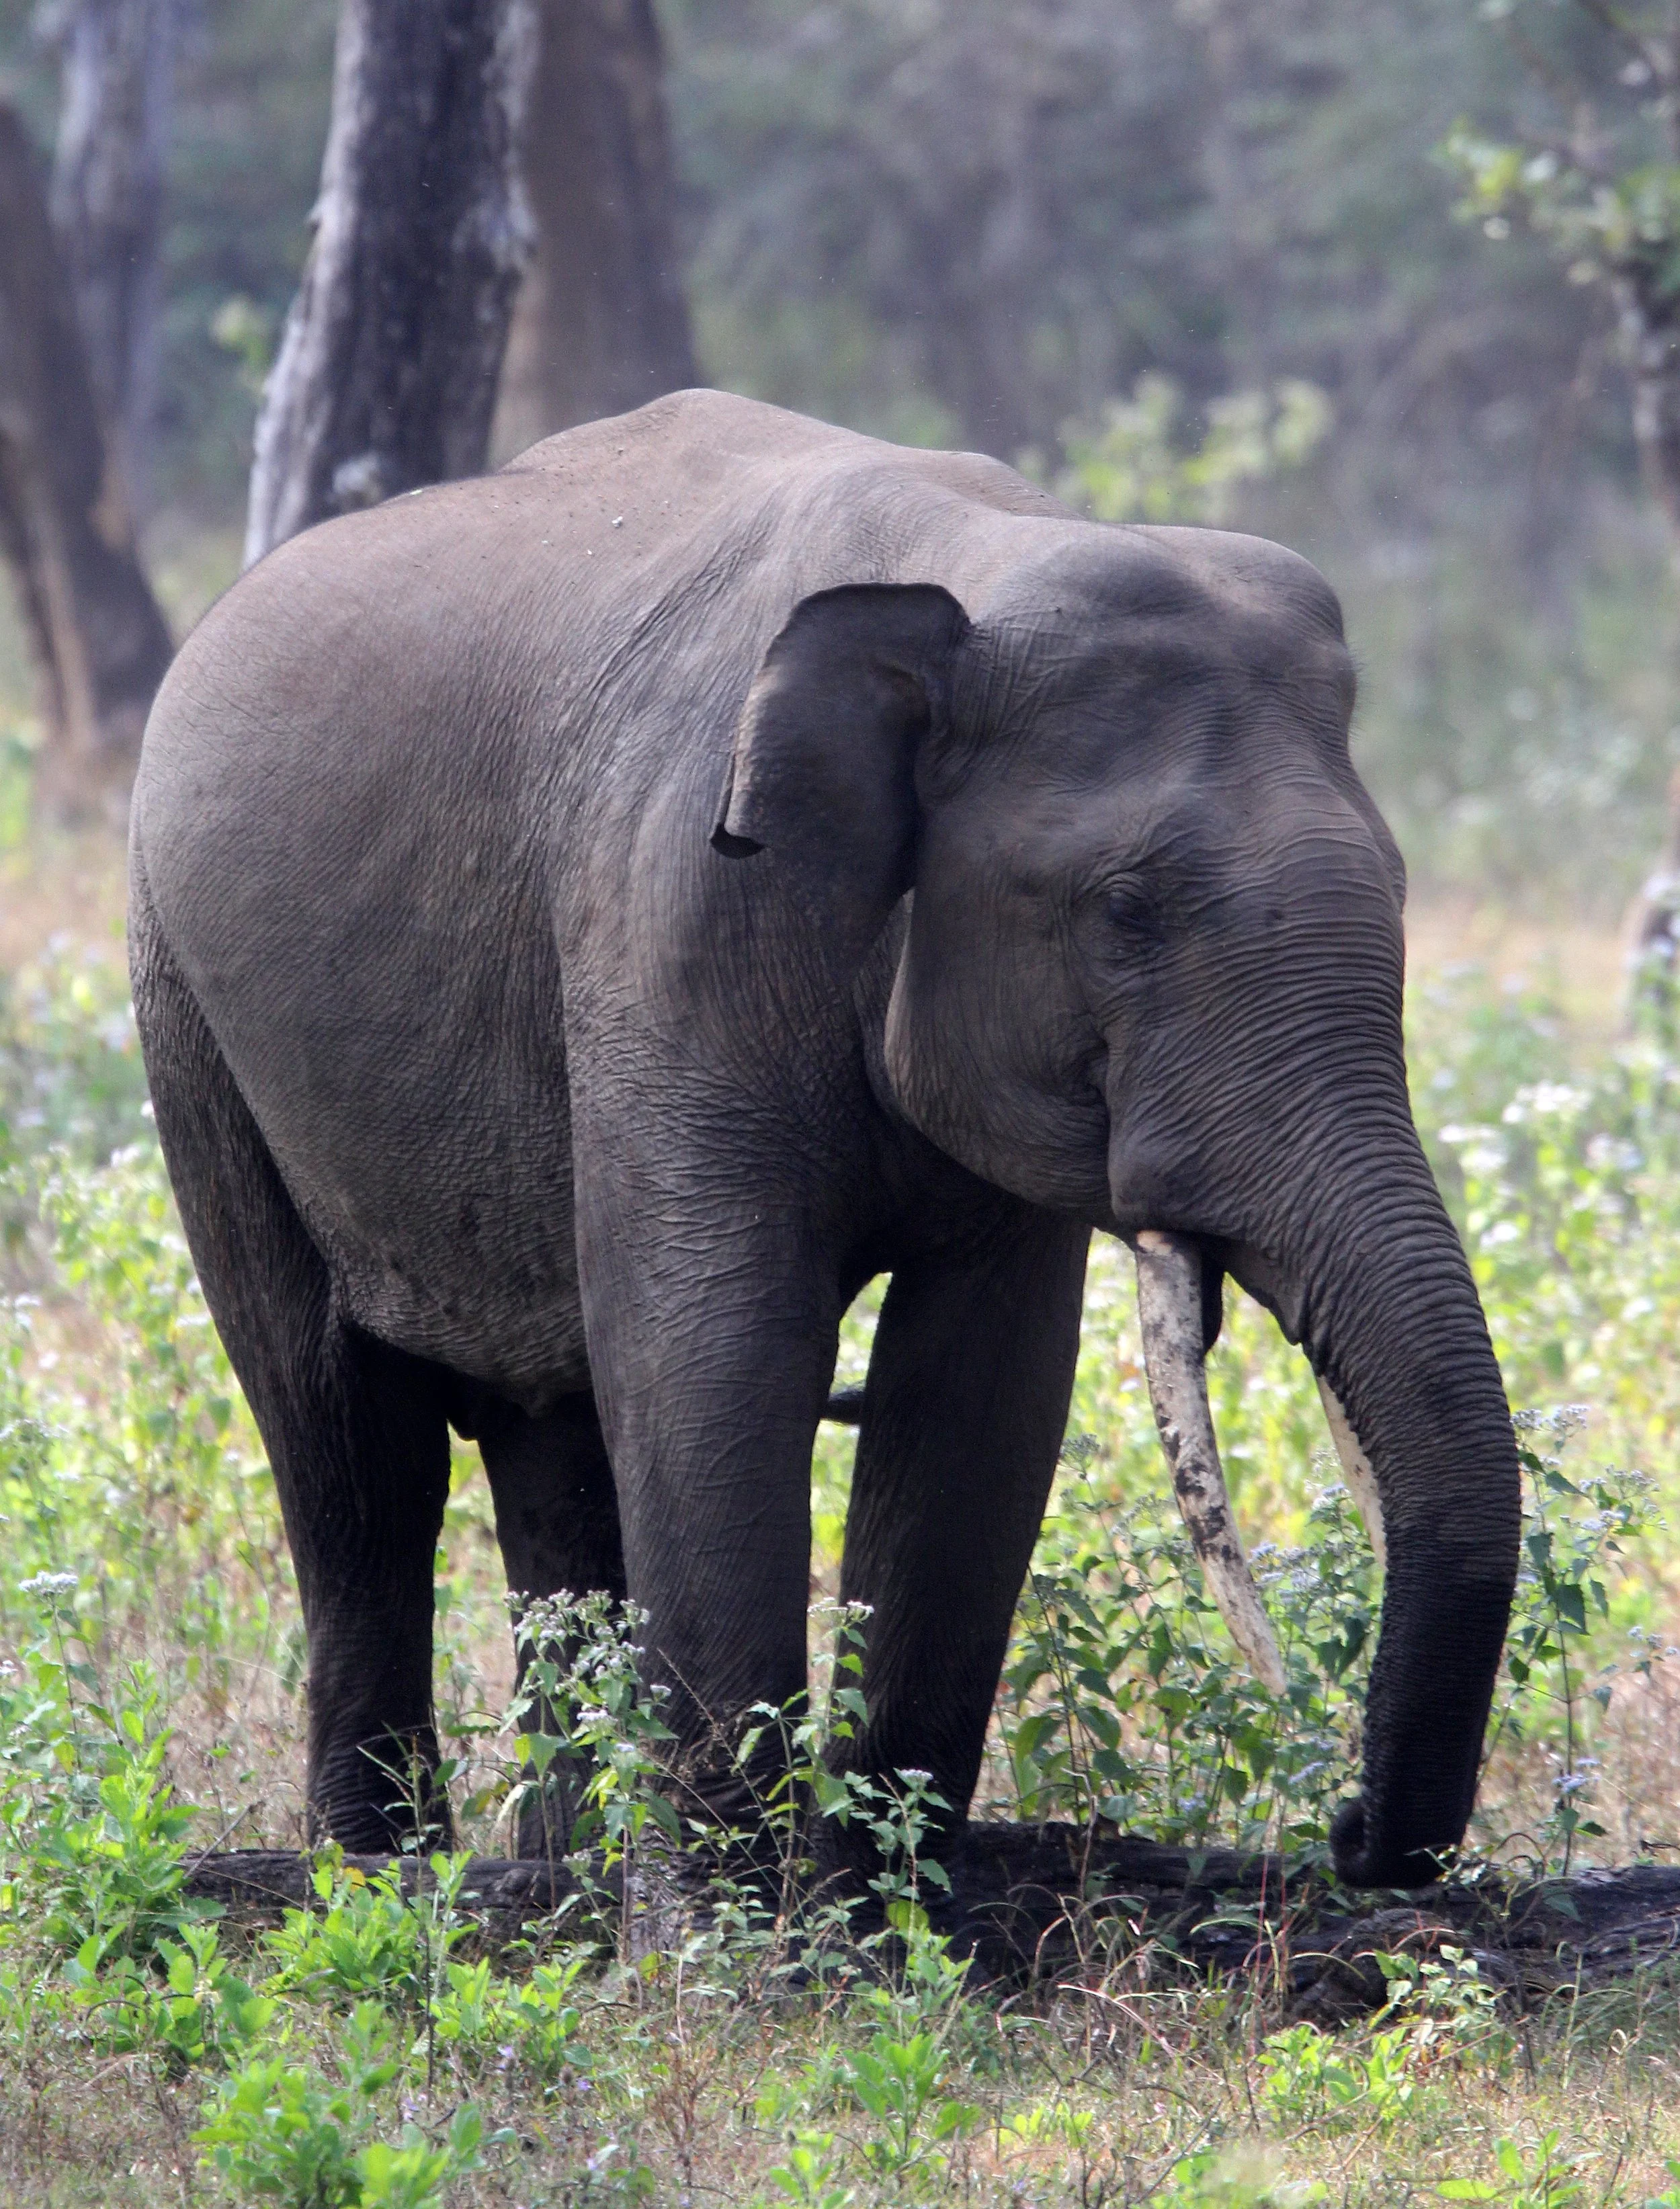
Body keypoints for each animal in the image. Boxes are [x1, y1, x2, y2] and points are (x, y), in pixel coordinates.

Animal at [128, 388, 1520, 1890]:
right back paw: (390, 1884)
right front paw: (739, 1932)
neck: (974, 567)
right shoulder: (674, 916)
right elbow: (716, 1350)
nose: (1350, 1831)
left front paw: (879, 1901)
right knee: (348, 1444)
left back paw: (558, 1880)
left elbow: (979, 1391)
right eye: (1122, 910)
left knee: (549, 1440)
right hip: (188, 1007)